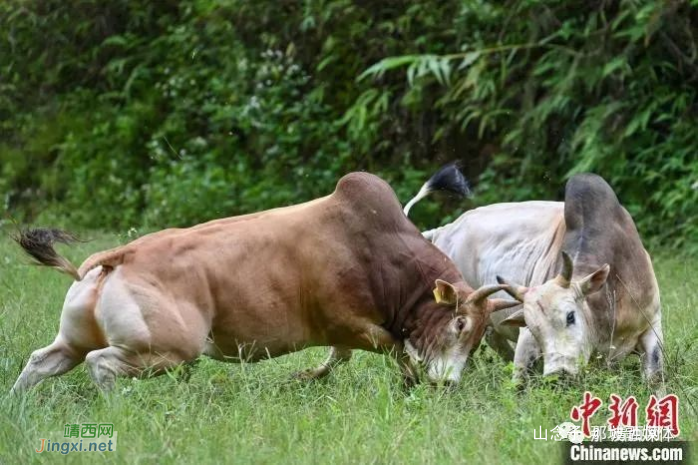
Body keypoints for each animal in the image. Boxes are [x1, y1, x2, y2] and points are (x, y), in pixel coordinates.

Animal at [9, 171, 512, 392]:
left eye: (480, 337)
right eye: (460, 325)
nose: (449, 384)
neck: (380, 251)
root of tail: (119, 257)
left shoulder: (347, 333)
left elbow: (339, 358)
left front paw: (305, 376)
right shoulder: (353, 325)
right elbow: (392, 350)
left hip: (74, 339)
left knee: (42, 361)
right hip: (167, 351)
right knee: (101, 364)